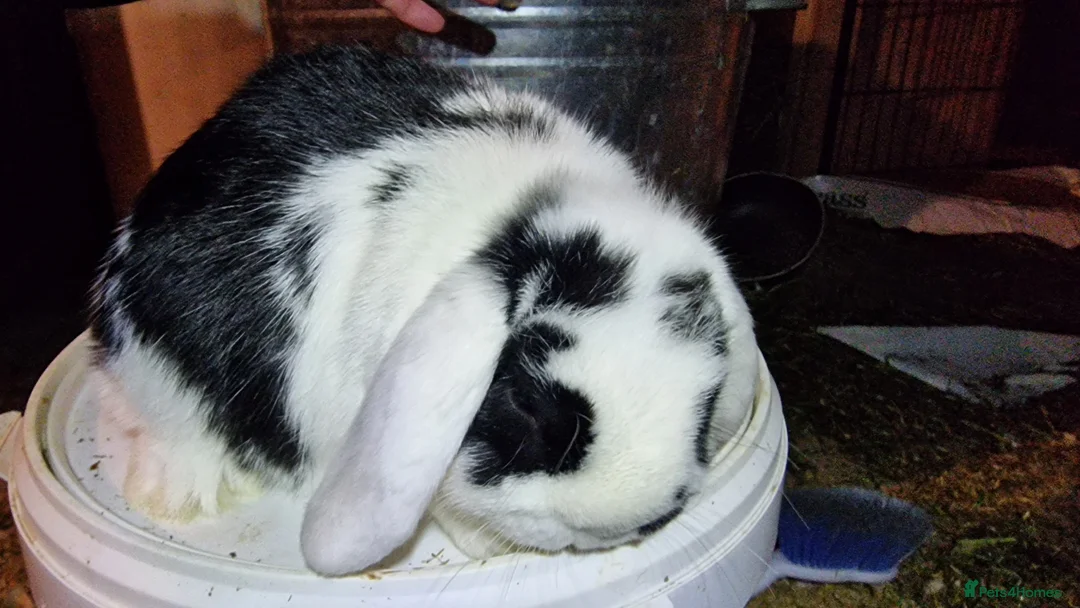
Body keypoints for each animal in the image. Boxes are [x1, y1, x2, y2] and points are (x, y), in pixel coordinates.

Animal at [87, 44, 760, 577]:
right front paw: (486, 546)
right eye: (525, 401)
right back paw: (175, 495)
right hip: (161, 380)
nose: (615, 525)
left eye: (707, 402)